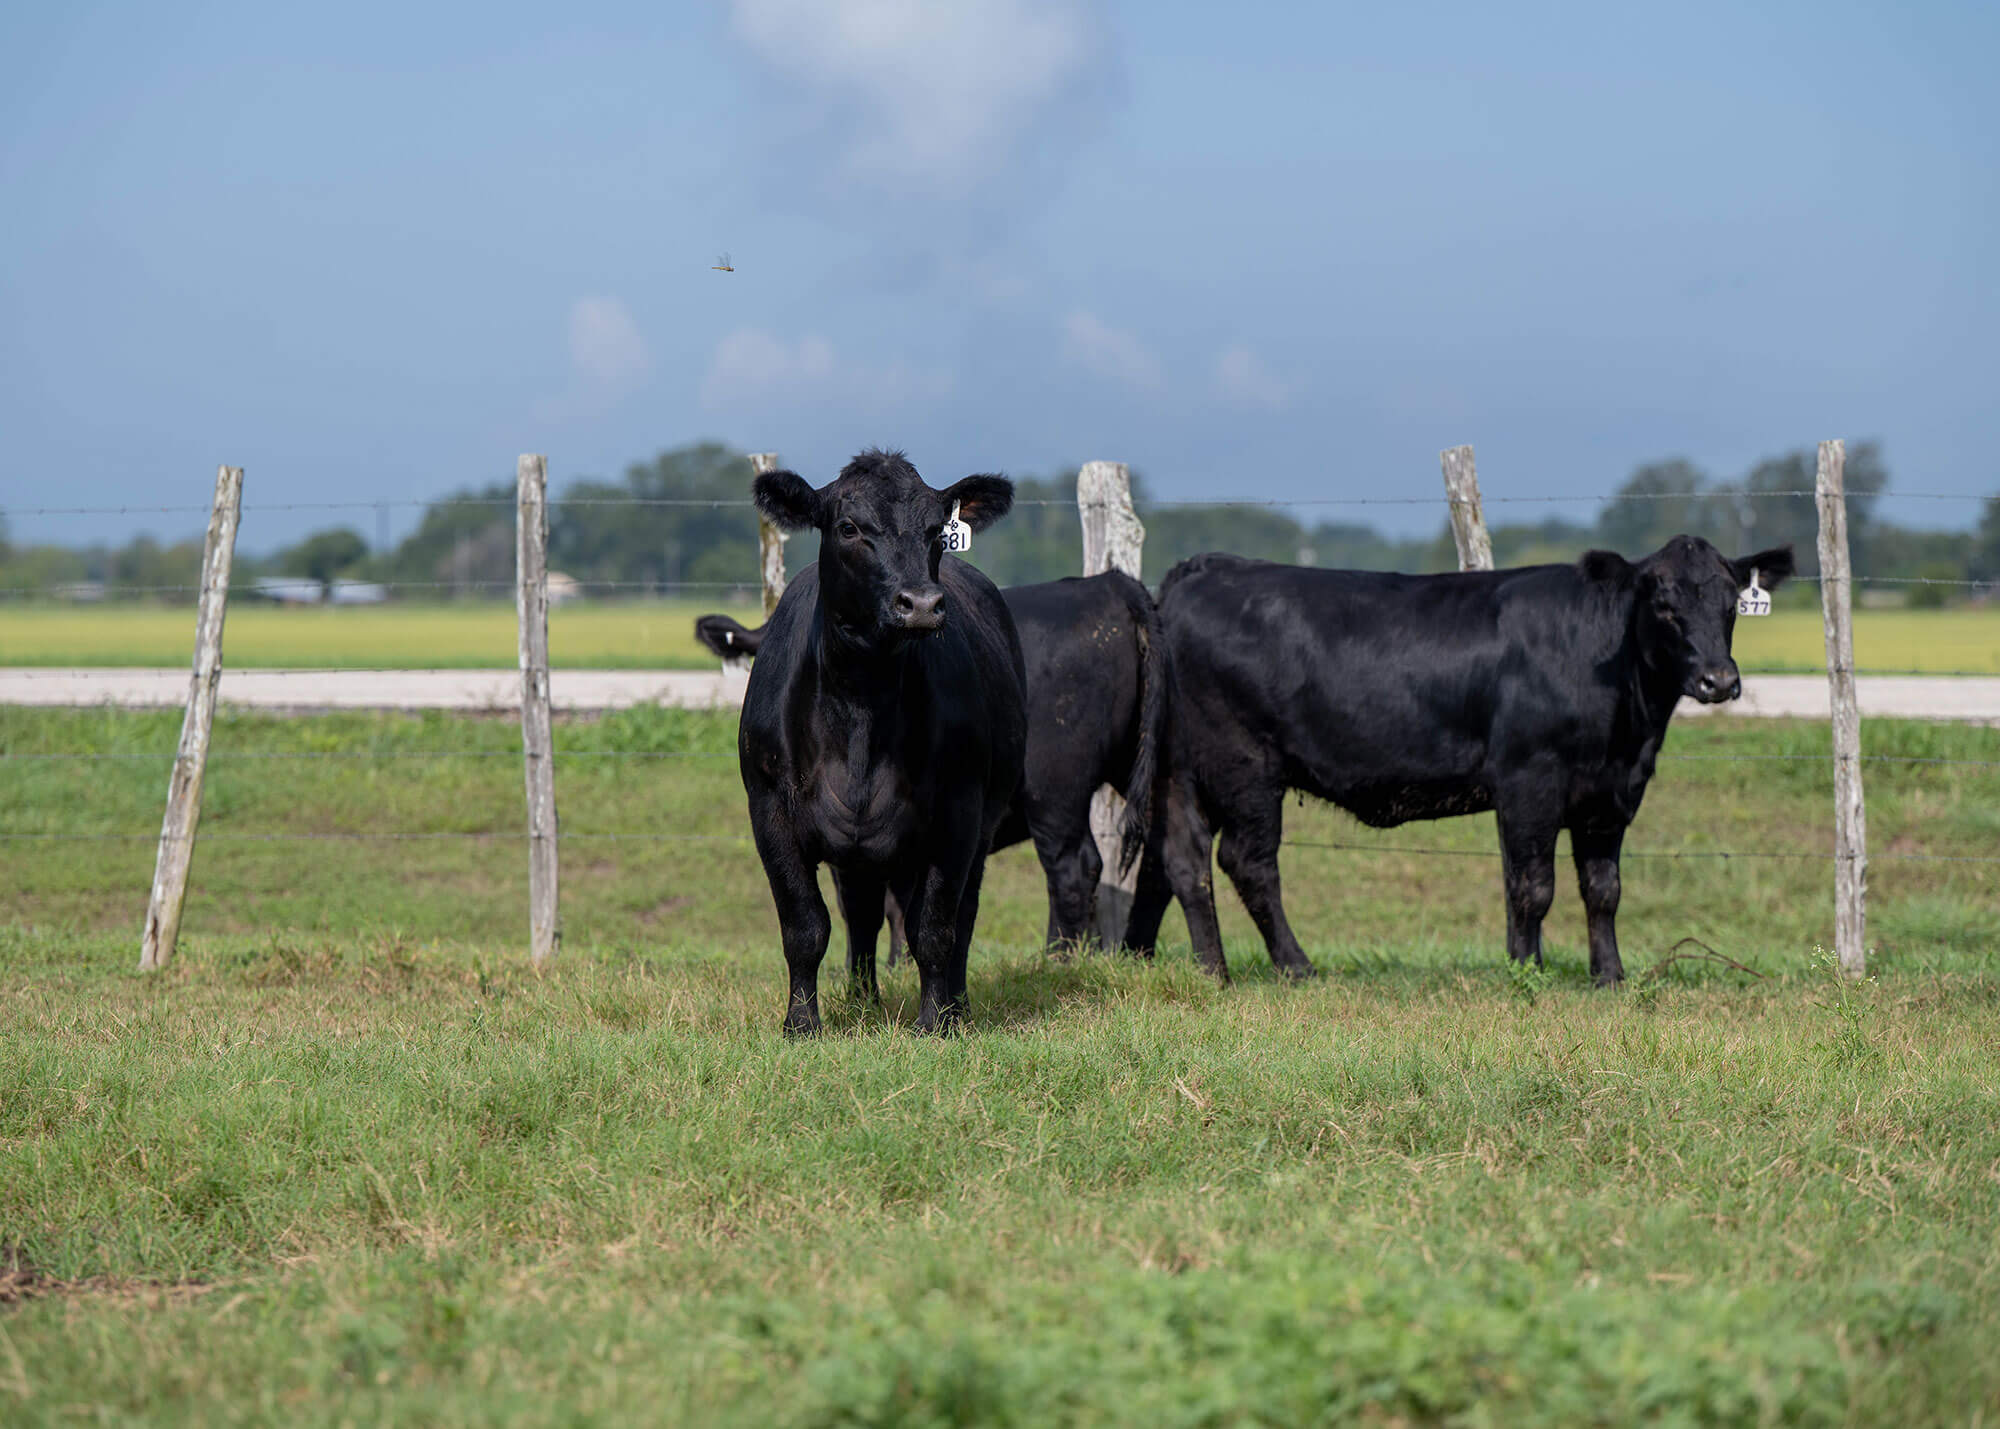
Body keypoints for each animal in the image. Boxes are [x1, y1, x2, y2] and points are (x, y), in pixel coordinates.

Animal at [738, 449, 1025, 1035]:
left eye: (938, 531)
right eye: (849, 528)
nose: (921, 604)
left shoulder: (959, 813)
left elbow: (934, 928)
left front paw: (936, 1022)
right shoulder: (769, 808)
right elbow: (805, 925)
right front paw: (801, 1023)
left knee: (960, 916)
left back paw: (958, 1006)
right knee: (862, 916)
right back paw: (862, 1000)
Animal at [1122, 535, 1796, 985]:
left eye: (1731, 603)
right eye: (1663, 604)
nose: (1718, 680)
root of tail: (1205, 569)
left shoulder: (1610, 794)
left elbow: (1603, 889)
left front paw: (1610, 976)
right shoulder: (1529, 780)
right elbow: (1533, 886)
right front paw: (1527, 971)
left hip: (1181, 773)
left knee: (1176, 861)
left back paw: (1187, 967)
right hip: (1244, 766)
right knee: (1247, 862)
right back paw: (1295, 966)